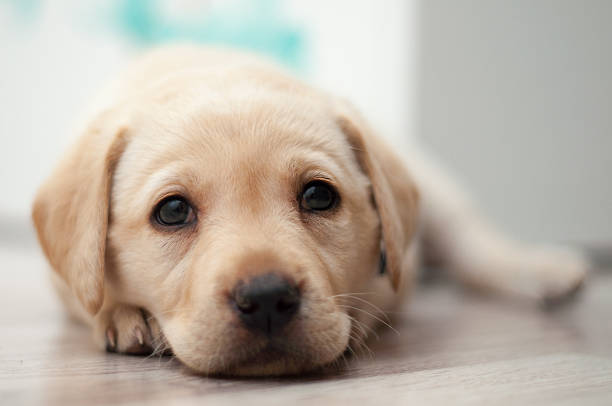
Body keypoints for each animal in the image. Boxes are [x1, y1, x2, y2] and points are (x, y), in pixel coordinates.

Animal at [31, 46, 584, 376]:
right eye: (171, 212)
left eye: (319, 196)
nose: (266, 298)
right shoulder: (64, 277)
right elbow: (87, 290)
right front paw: (122, 312)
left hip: (438, 189)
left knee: (472, 242)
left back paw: (543, 269)